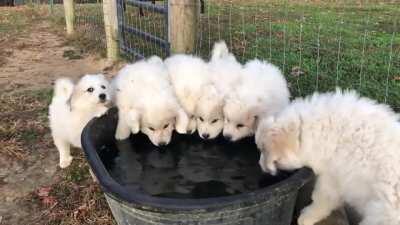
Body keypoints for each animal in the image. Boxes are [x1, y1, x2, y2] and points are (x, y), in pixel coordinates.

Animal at [256, 89, 400, 225]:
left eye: (263, 150)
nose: (259, 164)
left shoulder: (332, 177)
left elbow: (321, 199)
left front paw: (307, 217)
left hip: (381, 213)